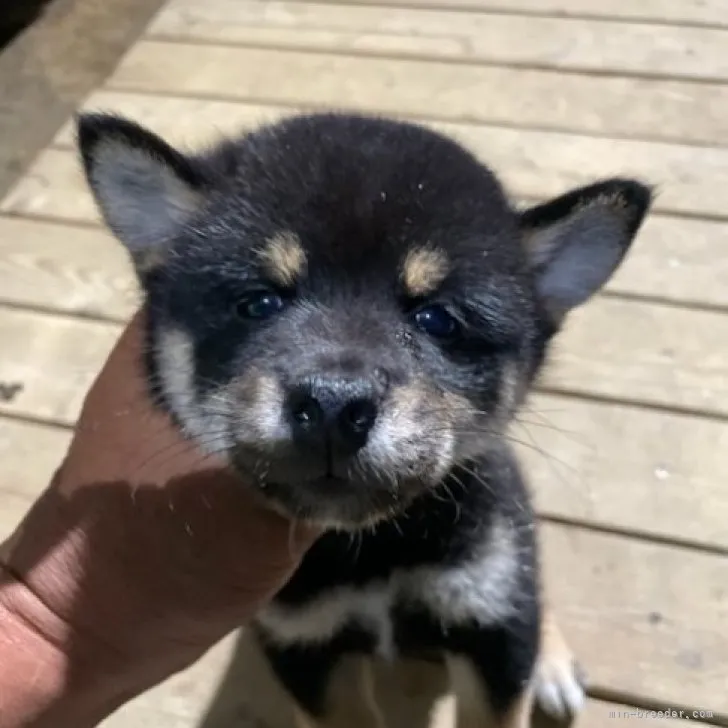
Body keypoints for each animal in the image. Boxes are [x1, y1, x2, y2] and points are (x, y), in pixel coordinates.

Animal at [77, 109, 652, 728]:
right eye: (258, 303)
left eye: (437, 319)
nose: (332, 405)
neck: (374, 553)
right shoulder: (307, 645)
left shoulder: (488, 626)